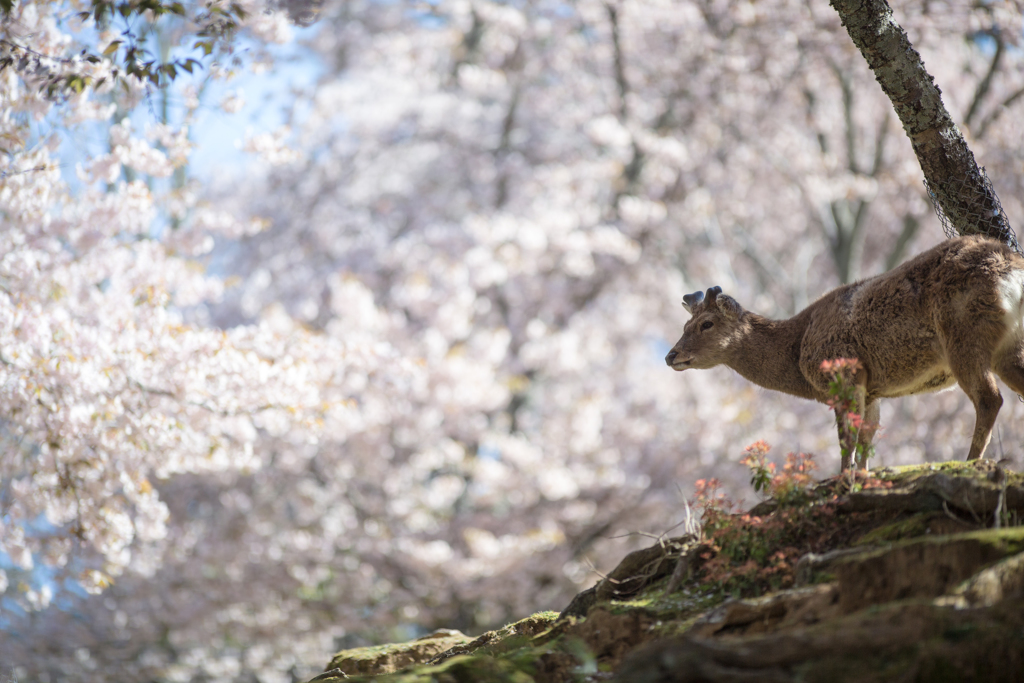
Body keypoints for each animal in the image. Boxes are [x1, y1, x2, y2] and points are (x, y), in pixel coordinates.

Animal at [663, 235, 1024, 471]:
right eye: (685, 323)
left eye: (706, 323)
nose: (671, 355)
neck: (798, 352)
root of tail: (1011, 270)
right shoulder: (873, 389)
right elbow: (867, 438)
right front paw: (862, 476)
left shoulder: (844, 372)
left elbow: (846, 440)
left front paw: (841, 480)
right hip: (1009, 346)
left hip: (963, 333)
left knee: (990, 398)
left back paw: (970, 462)